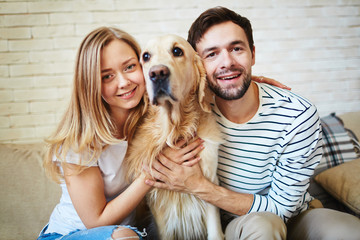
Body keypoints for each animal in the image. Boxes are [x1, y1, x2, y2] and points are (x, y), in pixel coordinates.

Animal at [125, 34, 224, 240]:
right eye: (146, 56)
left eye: (177, 51)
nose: (157, 73)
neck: (175, 131)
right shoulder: (157, 200)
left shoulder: (209, 184)